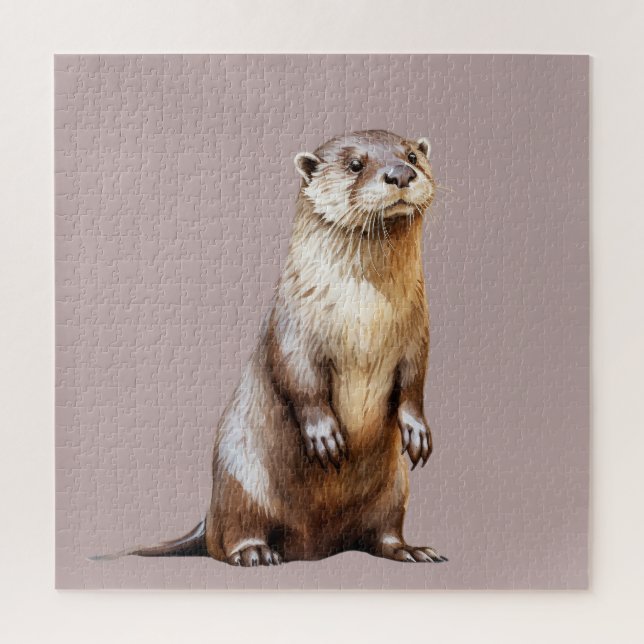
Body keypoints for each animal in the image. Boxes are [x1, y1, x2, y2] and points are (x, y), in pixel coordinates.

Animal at [94, 130, 446, 566]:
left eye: (412, 155)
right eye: (354, 165)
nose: (400, 173)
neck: (366, 314)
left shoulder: (417, 334)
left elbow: (415, 382)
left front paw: (417, 430)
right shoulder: (291, 326)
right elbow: (297, 376)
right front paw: (324, 435)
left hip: (395, 491)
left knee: (382, 533)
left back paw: (410, 549)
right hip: (239, 480)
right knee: (228, 536)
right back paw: (256, 552)